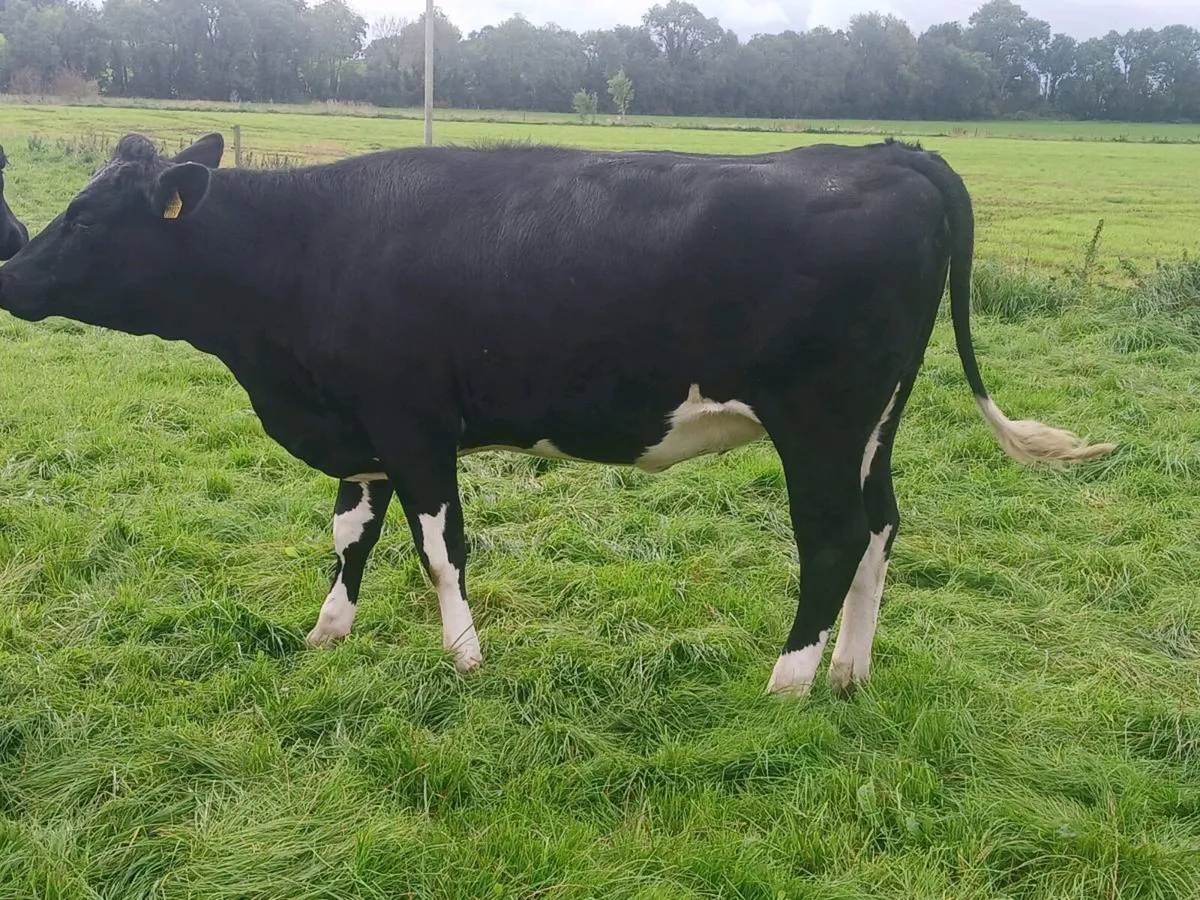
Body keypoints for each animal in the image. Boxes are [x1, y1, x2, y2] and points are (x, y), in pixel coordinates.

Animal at [0, 132, 1115, 697]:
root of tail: (893, 150)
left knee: (835, 537)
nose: (11, 270)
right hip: (875, 424)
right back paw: (848, 670)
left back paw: (789, 680)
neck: (307, 252)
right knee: (882, 527)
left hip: (824, 420)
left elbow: (438, 547)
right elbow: (351, 534)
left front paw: (463, 656)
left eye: (88, 219)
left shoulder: (413, 422)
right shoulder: (357, 429)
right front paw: (326, 632)